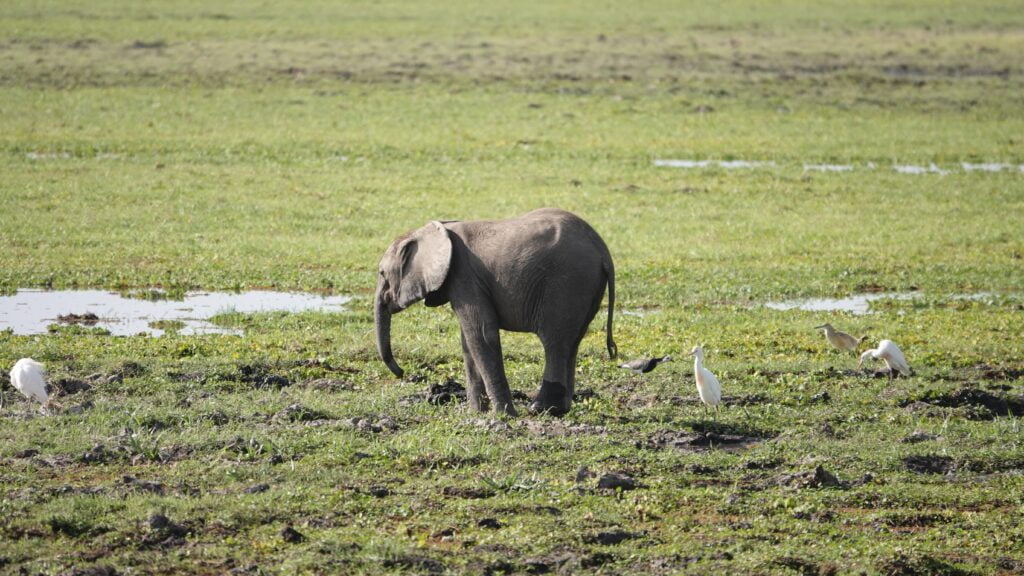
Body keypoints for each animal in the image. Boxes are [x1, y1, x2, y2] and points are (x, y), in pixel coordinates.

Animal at [376, 208, 614, 414]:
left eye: (382, 273)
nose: (402, 373)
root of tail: (602, 250)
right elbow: (468, 341)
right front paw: (476, 413)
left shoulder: (464, 275)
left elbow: (481, 334)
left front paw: (503, 414)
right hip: (585, 287)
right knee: (572, 342)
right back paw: (560, 409)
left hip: (566, 283)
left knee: (555, 342)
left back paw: (541, 409)